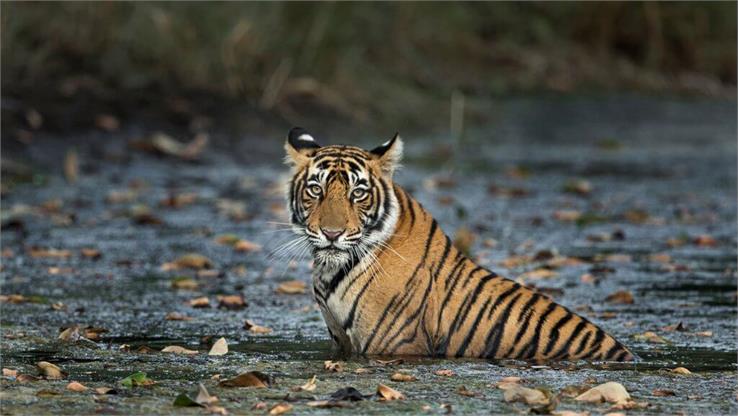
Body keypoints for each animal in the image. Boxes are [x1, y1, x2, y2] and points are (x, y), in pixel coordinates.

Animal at [282, 127, 632, 360]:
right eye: (315, 189)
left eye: (358, 193)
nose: (331, 233)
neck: (329, 272)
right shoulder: (340, 340)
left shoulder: (395, 345)